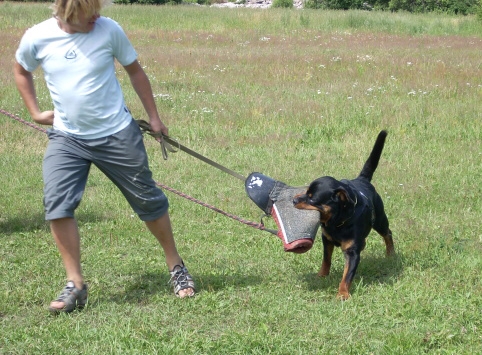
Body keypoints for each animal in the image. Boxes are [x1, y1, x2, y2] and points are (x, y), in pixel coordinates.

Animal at [292, 131, 394, 300]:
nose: (294, 200)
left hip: (379, 220)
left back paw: (391, 253)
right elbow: (326, 260)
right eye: (306, 192)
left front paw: (342, 293)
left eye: (312, 198)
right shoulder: (326, 239)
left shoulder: (352, 253)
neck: (337, 222)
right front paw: (322, 275)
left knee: (388, 233)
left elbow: (347, 276)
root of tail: (362, 180)